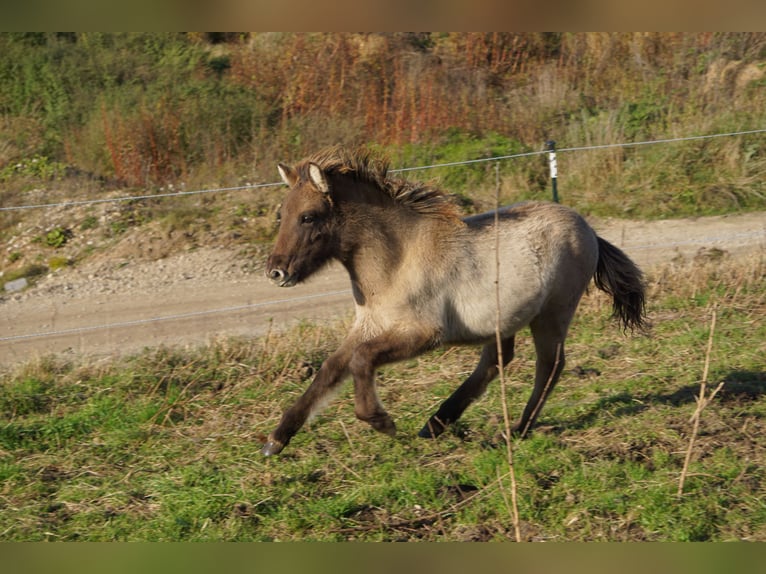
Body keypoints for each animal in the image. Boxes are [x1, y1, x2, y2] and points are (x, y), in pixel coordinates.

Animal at [260, 148, 644, 460]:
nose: (276, 272)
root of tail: (589, 230)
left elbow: (361, 360)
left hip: (552, 315)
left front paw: (381, 421)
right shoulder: (368, 326)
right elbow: (329, 371)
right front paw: (275, 440)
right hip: (506, 318)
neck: (397, 260)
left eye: (308, 216)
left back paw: (513, 431)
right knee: (496, 363)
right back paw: (437, 423)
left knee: (549, 367)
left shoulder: (424, 334)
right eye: (282, 215)